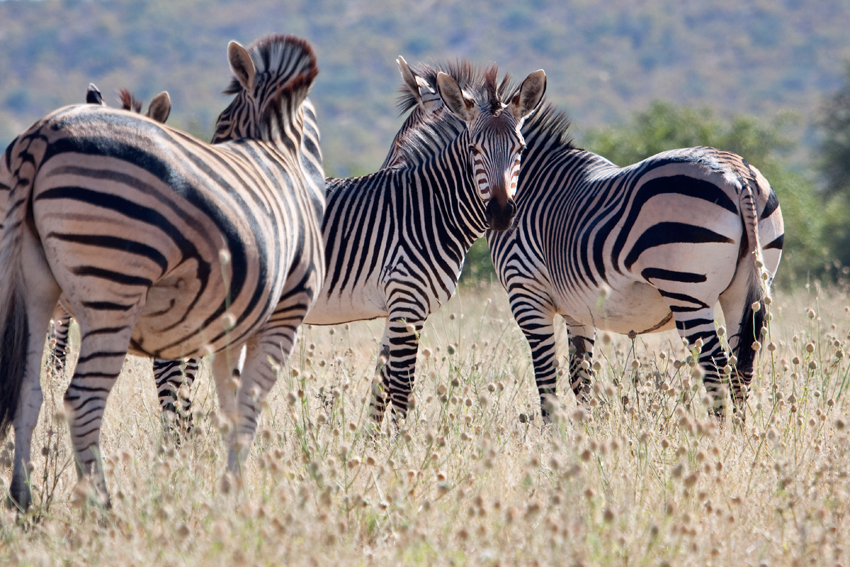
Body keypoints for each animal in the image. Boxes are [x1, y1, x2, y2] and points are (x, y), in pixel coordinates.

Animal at [0, 33, 324, 508]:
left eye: (221, 121)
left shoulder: (229, 328)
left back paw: (22, 497)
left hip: (33, 287)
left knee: (27, 390)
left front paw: (228, 491)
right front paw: (236, 494)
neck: (277, 150)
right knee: (82, 401)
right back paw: (102, 505)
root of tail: (42, 135)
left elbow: (229, 406)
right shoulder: (285, 314)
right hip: (113, 291)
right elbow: (247, 406)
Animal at [302, 62, 548, 426]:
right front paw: (401, 441)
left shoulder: (400, 308)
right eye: (474, 149)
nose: (502, 213)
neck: (428, 208)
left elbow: (381, 385)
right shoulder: (407, 303)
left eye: (520, 150)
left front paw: (372, 437)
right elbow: (402, 391)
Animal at [484, 105, 780, 422]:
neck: (532, 183)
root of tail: (738, 175)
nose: (502, 216)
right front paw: (585, 428)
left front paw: (556, 431)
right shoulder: (577, 310)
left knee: (717, 369)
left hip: (687, 292)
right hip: (745, 291)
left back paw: (717, 435)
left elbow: (546, 378)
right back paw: (738, 432)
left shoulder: (527, 294)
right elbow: (580, 376)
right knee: (741, 370)